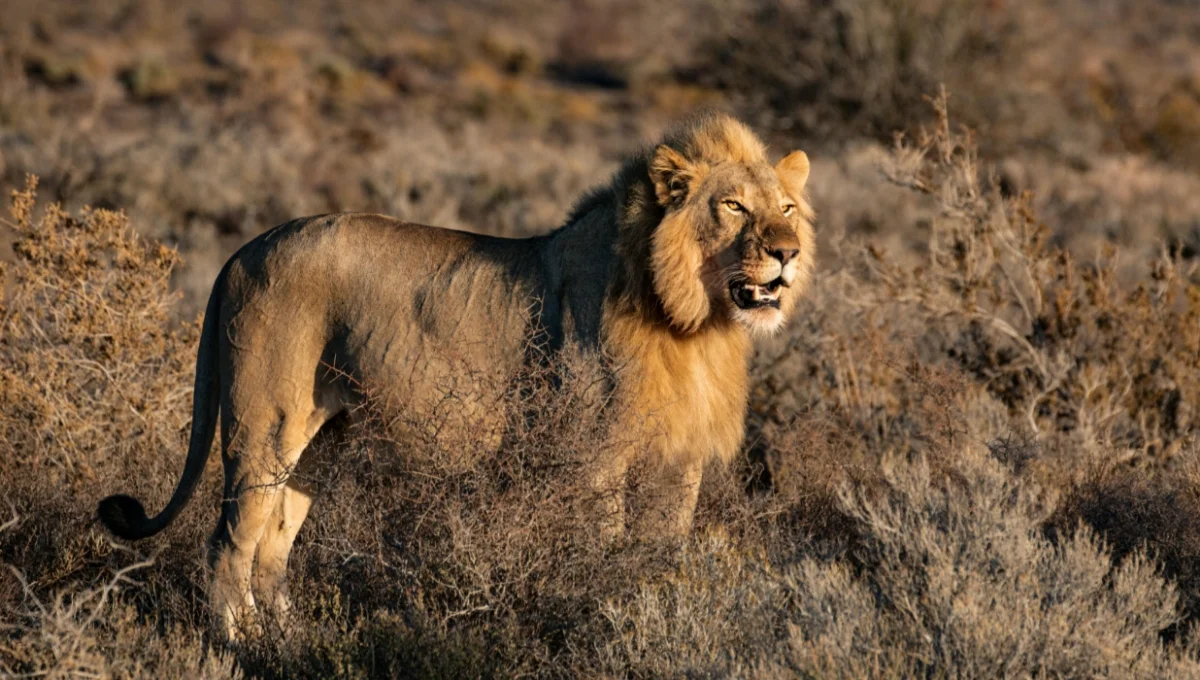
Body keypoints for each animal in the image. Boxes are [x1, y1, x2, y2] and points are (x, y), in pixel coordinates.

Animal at [97, 111, 816, 640]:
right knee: (228, 545)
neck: (695, 323)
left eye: (786, 207)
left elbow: (661, 555)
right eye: (733, 207)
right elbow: (606, 553)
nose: (787, 253)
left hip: (322, 442)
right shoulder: (595, 458)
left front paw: (659, 615)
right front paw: (605, 617)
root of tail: (241, 252)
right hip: (263, 426)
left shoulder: (678, 461)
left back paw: (290, 642)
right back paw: (240, 647)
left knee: (273, 548)